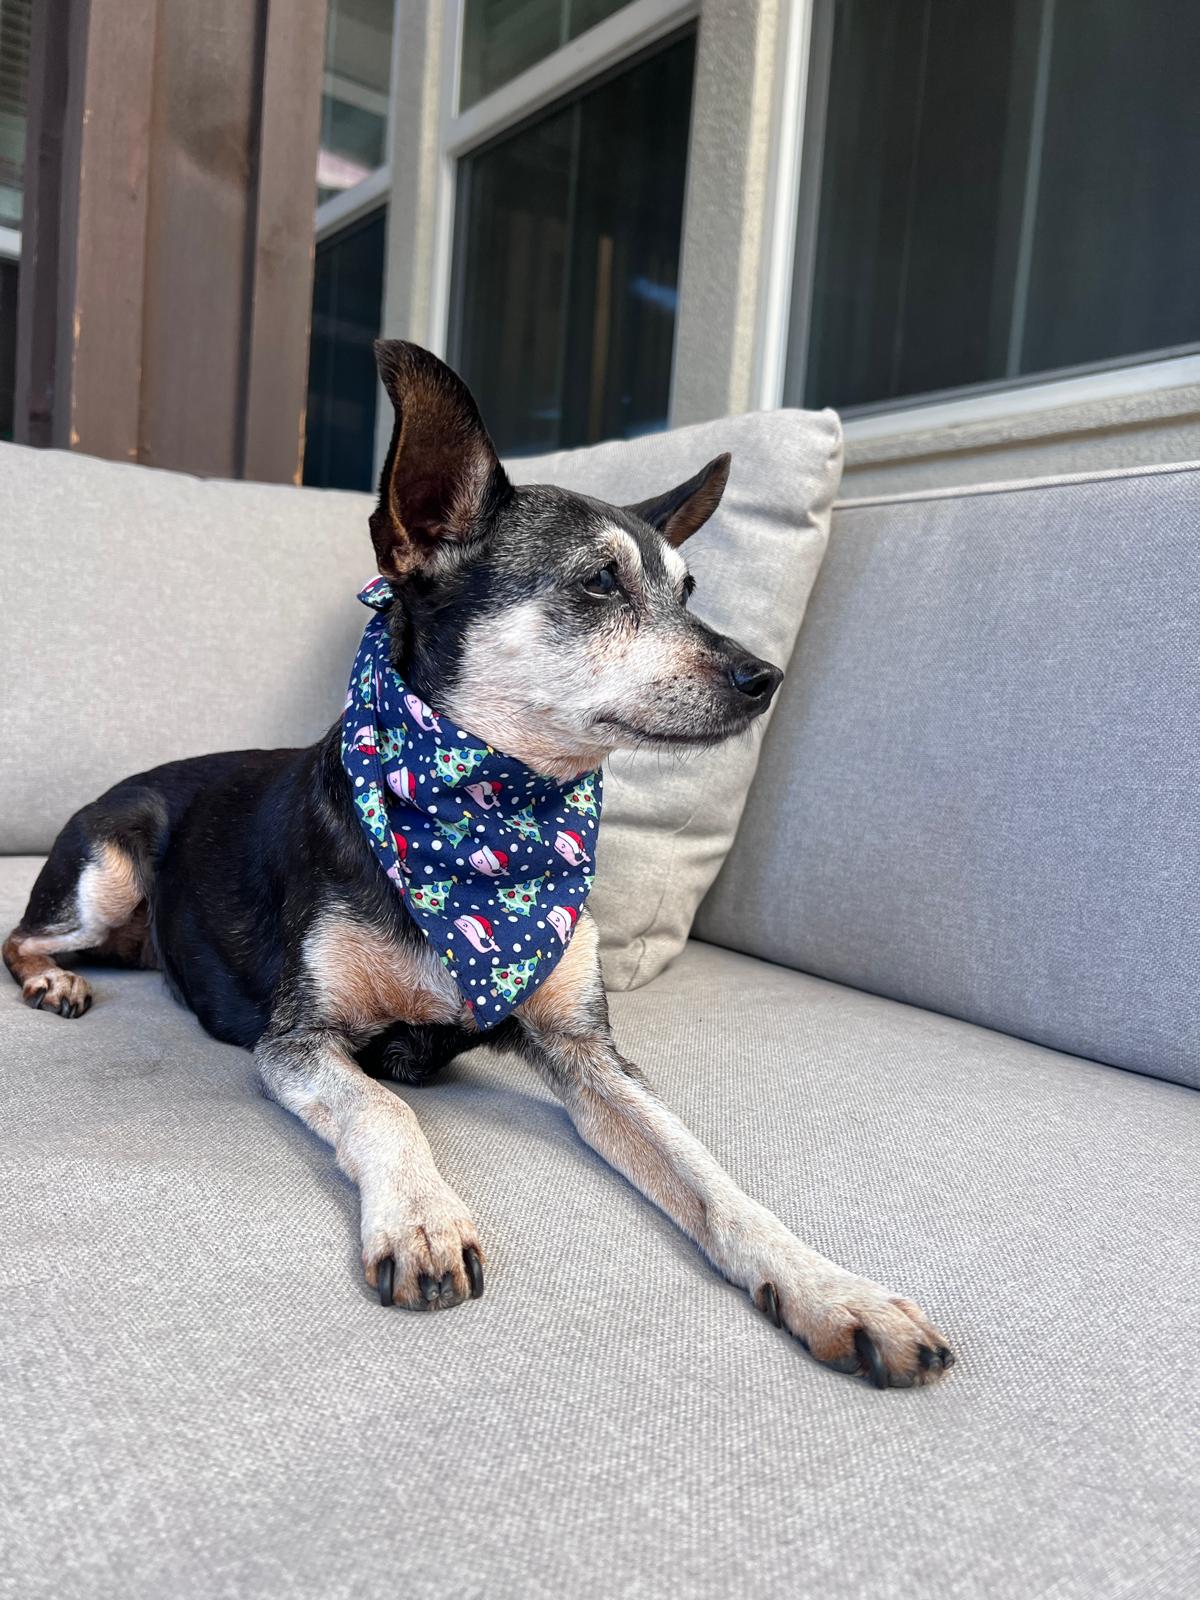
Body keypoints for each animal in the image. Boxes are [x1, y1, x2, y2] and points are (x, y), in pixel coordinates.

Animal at [4, 341, 952, 1388]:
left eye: (689, 591)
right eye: (598, 584)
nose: (765, 677)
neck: (485, 821)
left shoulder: (586, 1051)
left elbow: (708, 1173)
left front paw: (832, 1288)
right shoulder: (296, 1040)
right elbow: (385, 1108)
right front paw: (422, 1219)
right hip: (107, 869)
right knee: (19, 933)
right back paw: (52, 981)